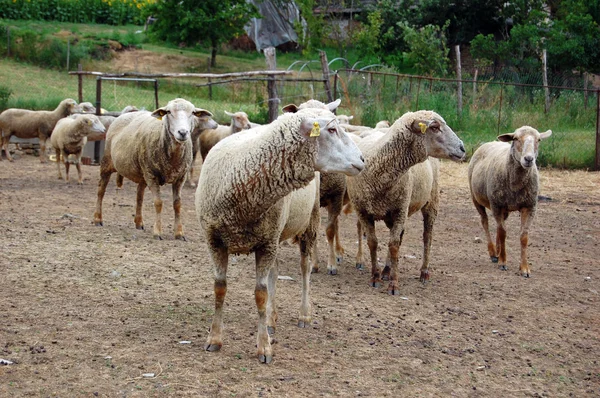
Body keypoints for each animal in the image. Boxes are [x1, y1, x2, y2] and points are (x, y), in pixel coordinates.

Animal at [94, 98, 213, 241]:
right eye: (168, 112)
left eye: (193, 113)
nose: (183, 132)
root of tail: (124, 114)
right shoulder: (152, 176)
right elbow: (158, 203)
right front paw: (157, 232)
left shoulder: (180, 178)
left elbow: (177, 204)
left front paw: (179, 233)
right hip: (107, 162)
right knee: (101, 190)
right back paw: (97, 219)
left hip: (143, 173)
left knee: (139, 195)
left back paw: (139, 222)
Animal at [198, 109, 366, 364]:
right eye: (332, 129)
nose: (363, 159)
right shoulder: (215, 240)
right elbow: (220, 288)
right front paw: (214, 339)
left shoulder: (266, 244)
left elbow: (260, 294)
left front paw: (264, 348)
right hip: (274, 235)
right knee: (274, 275)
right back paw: (270, 319)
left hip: (309, 222)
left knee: (305, 269)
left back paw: (304, 314)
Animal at [344, 109, 466, 296]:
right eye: (435, 127)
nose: (463, 148)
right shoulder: (363, 211)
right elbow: (373, 242)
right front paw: (375, 277)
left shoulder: (400, 210)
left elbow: (394, 246)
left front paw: (394, 284)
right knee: (399, 237)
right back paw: (386, 270)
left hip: (430, 202)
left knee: (427, 237)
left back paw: (424, 272)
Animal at [468, 125, 552, 276]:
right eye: (516, 138)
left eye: (539, 140)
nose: (529, 159)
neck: (516, 185)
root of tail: (490, 142)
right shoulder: (497, 205)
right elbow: (503, 233)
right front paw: (502, 262)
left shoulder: (530, 207)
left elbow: (523, 236)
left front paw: (524, 268)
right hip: (477, 199)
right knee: (485, 222)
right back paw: (493, 252)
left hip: (504, 208)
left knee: (498, 225)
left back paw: (498, 250)